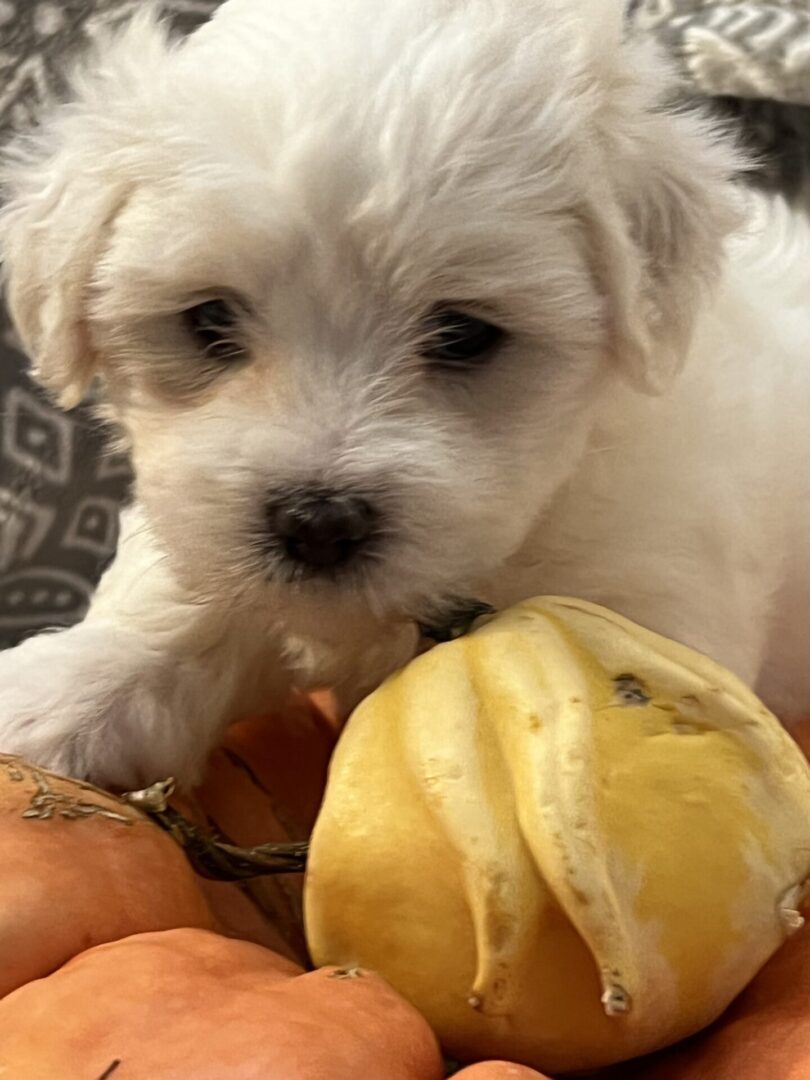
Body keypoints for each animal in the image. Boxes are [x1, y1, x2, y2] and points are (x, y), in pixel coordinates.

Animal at [0, 0, 807, 790]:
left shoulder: (654, 591)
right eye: (209, 320)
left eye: (464, 334)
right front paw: (61, 696)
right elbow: (179, 598)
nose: (317, 525)